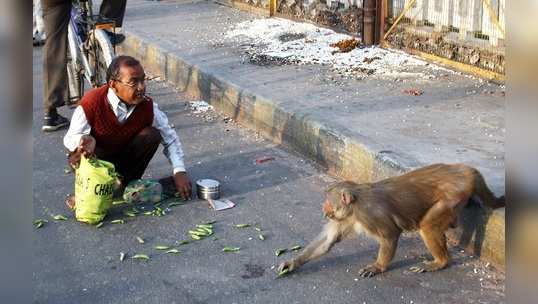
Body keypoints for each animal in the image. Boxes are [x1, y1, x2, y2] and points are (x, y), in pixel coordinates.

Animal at [276, 164, 502, 278]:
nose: (323, 209)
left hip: (454, 194)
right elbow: (327, 243)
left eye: (328, 202)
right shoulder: (346, 218)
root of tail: (466, 170)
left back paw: (440, 262)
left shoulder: (369, 214)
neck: (355, 204)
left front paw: (378, 267)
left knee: (427, 226)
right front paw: (292, 262)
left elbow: (390, 235)